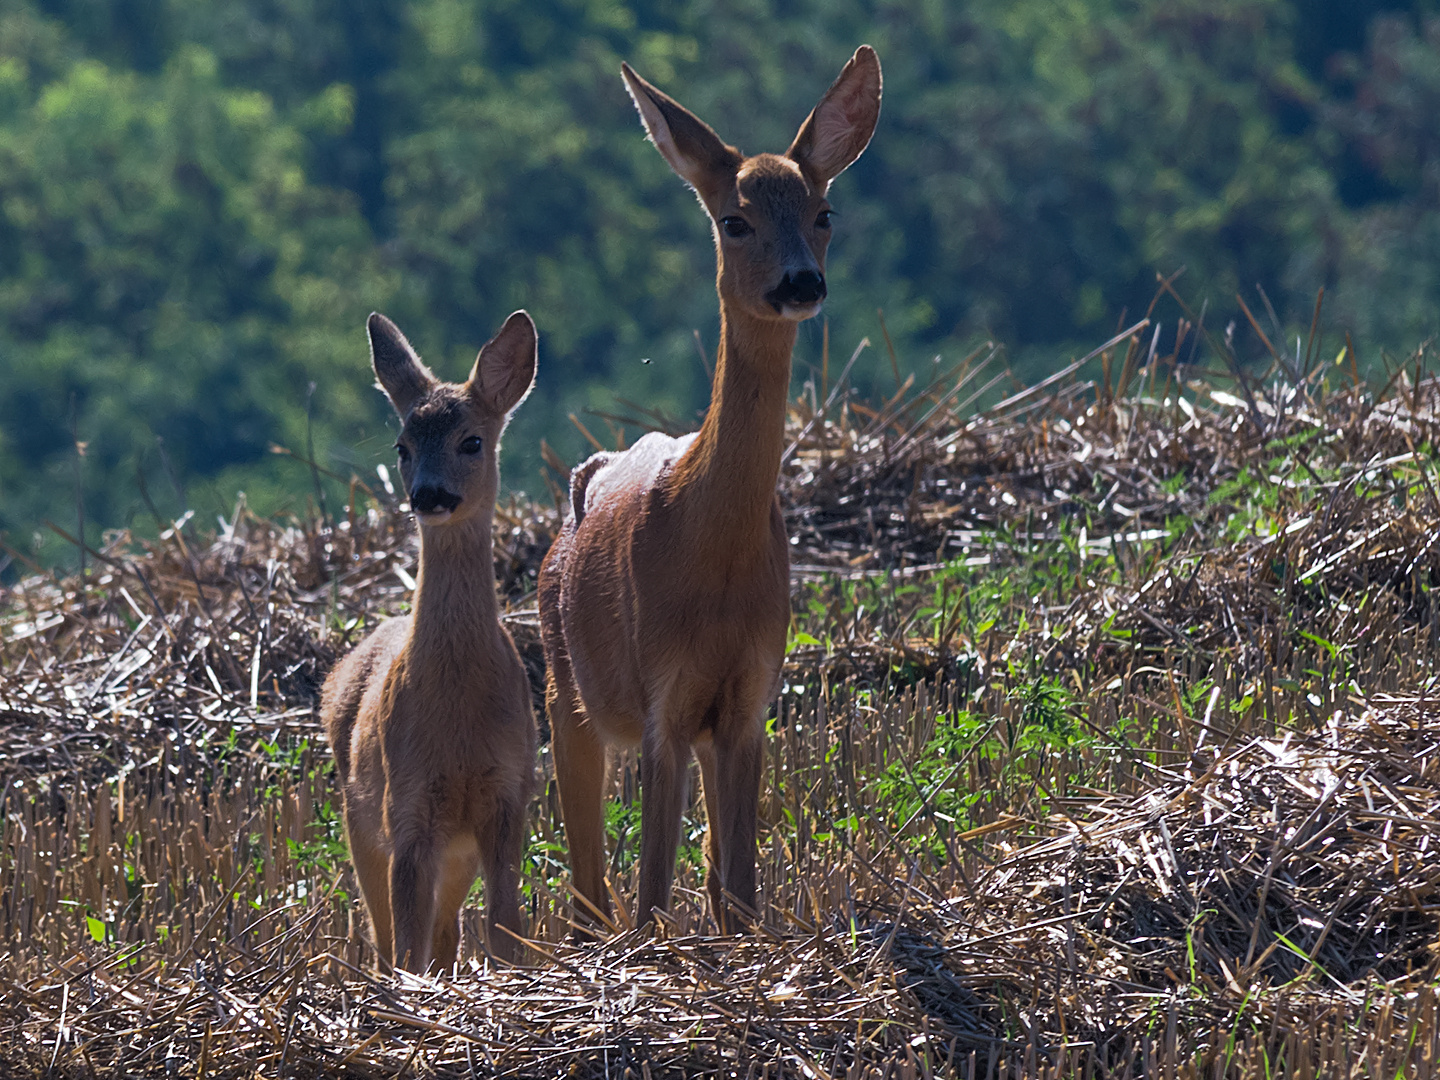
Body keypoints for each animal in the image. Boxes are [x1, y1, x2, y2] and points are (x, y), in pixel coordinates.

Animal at [322, 308, 541, 967]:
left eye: (472, 440)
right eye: (403, 446)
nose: (429, 495)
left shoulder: (507, 796)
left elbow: (506, 929)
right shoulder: (408, 804)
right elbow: (405, 945)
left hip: (454, 847)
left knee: (448, 931)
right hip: (360, 818)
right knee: (384, 934)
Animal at [538, 46, 881, 933]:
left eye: (825, 212)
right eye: (735, 219)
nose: (800, 283)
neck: (712, 554)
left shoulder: (750, 694)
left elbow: (741, 894)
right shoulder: (662, 690)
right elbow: (654, 894)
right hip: (565, 688)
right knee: (590, 887)